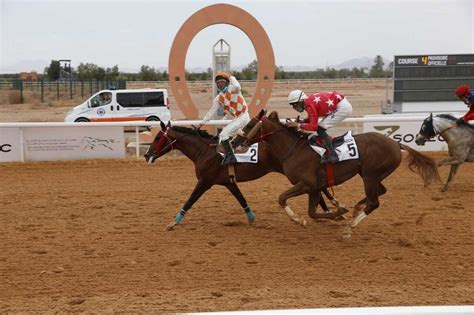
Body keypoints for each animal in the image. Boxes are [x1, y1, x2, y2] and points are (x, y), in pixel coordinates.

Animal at [144, 120, 340, 230]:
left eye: (157, 138)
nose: (147, 155)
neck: (204, 151)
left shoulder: (205, 181)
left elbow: (190, 200)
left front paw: (173, 223)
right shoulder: (228, 182)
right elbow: (240, 198)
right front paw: (251, 218)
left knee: (316, 189)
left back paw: (330, 210)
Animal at [244, 110, 440, 236]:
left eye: (250, 125)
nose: (238, 140)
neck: (294, 149)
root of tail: (395, 143)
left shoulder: (307, 184)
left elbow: (282, 198)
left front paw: (298, 219)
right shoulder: (315, 188)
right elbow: (312, 212)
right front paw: (339, 211)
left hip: (369, 176)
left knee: (374, 202)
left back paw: (351, 225)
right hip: (370, 174)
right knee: (380, 192)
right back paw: (355, 209)